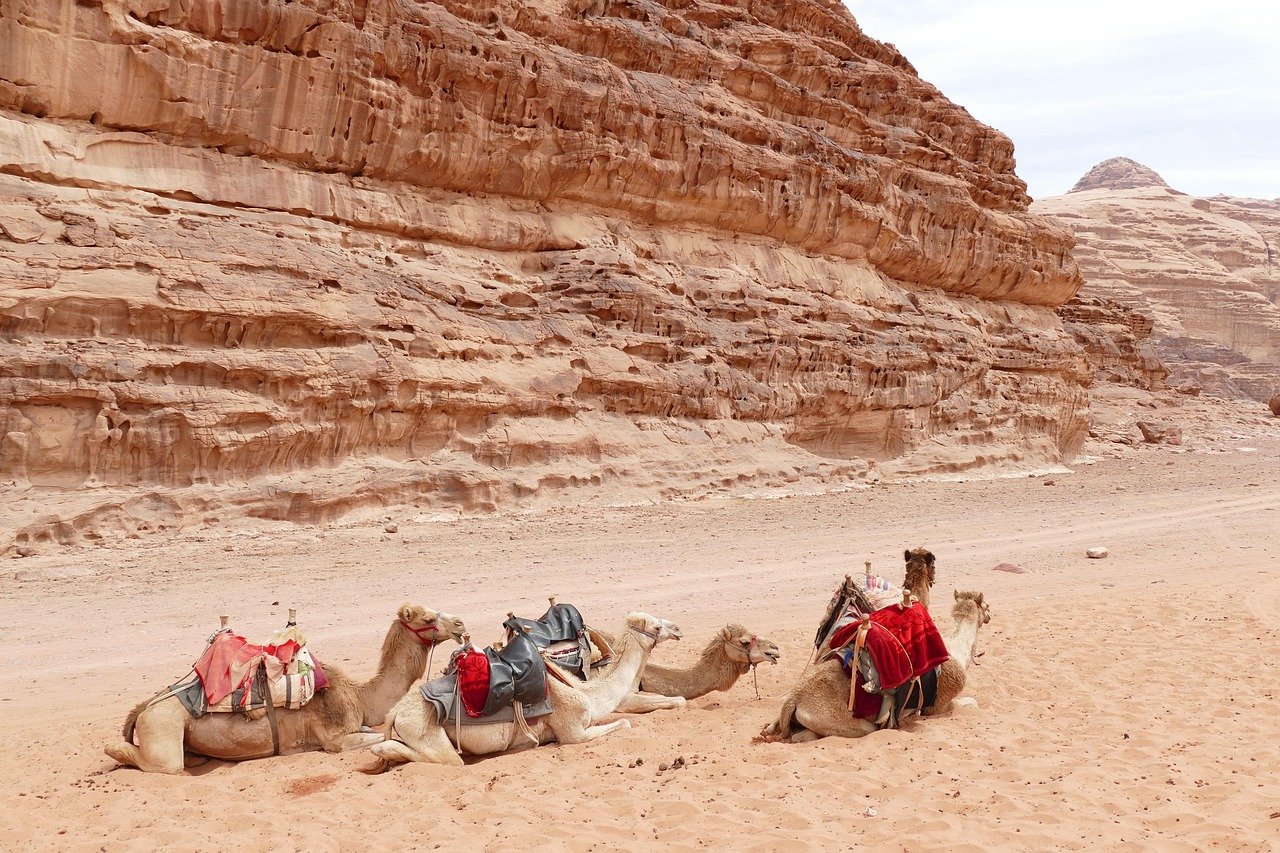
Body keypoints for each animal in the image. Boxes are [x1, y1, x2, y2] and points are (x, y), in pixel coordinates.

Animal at [104, 604, 466, 774]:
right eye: (427, 618)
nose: (460, 623)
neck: (359, 695)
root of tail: (145, 707)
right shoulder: (334, 739)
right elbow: (376, 739)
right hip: (162, 728)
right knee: (147, 758)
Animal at [363, 612, 682, 769]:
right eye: (656, 626)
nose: (678, 628)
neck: (585, 691)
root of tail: (394, 714)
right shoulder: (573, 732)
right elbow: (624, 722)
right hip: (424, 730)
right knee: (443, 758)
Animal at [758, 590, 990, 743]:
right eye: (986, 605)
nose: (989, 615)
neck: (957, 650)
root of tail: (795, 699)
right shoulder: (937, 706)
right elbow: (970, 703)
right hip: (848, 723)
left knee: (775, 726)